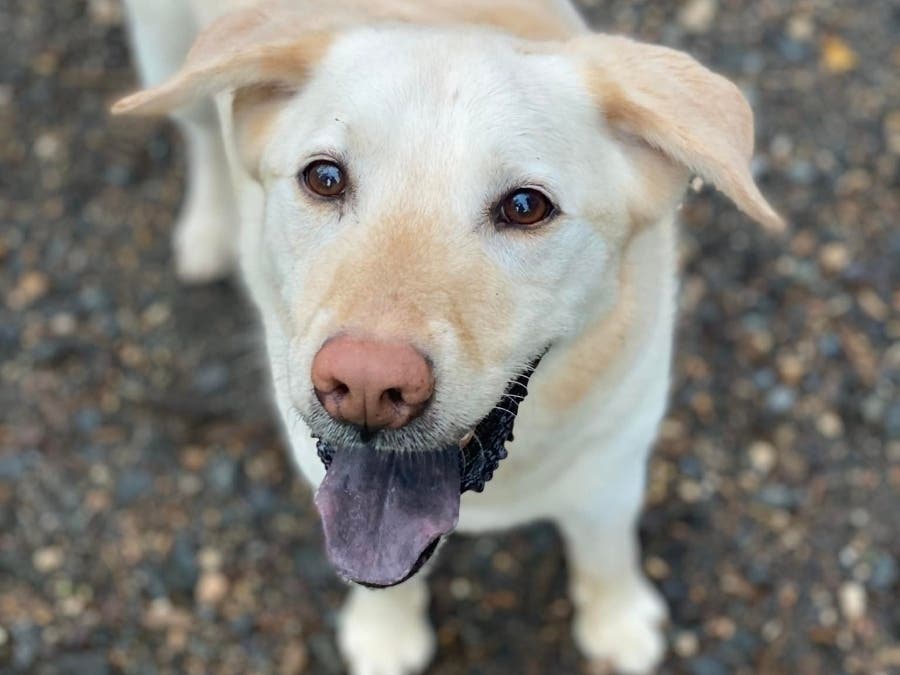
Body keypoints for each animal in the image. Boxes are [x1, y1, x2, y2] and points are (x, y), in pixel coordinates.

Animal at [116, 2, 780, 672]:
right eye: (325, 177)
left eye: (525, 206)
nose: (366, 382)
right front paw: (385, 636)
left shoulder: (614, 461)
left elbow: (604, 550)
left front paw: (616, 622)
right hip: (167, 53)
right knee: (202, 135)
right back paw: (208, 230)